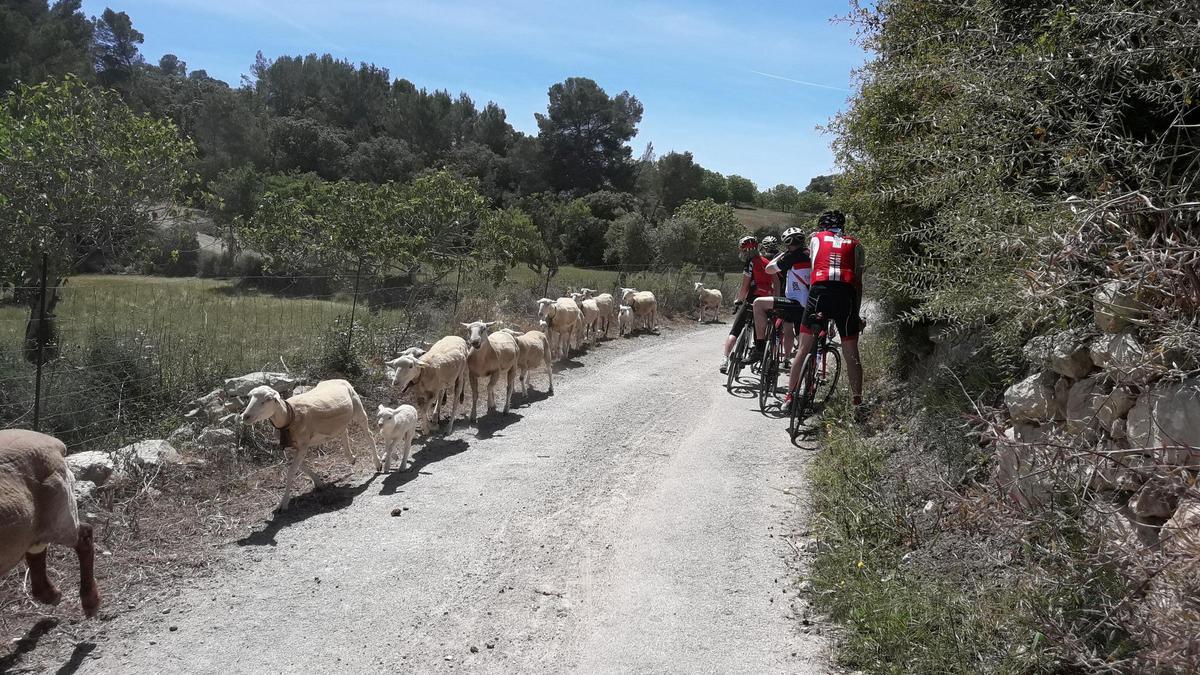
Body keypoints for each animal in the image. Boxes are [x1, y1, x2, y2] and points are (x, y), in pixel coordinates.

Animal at [0, 429, 100, 614]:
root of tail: (54, 443)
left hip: (58, 507)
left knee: (83, 536)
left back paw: (90, 599)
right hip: (30, 525)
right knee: (37, 546)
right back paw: (50, 594)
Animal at [238, 379, 374, 509]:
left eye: (267, 399)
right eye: (250, 397)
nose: (245, 416)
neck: (289, 415)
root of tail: (339, 379)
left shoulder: (303, 445)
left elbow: (291, 472)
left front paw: (283, 503)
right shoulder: (292, 448)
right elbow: (301, 467)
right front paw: (319, 483)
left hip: (358, 409)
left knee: (370, 436)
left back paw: (377, 465)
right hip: (338, 422)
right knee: (344, 432)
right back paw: (351, 458)